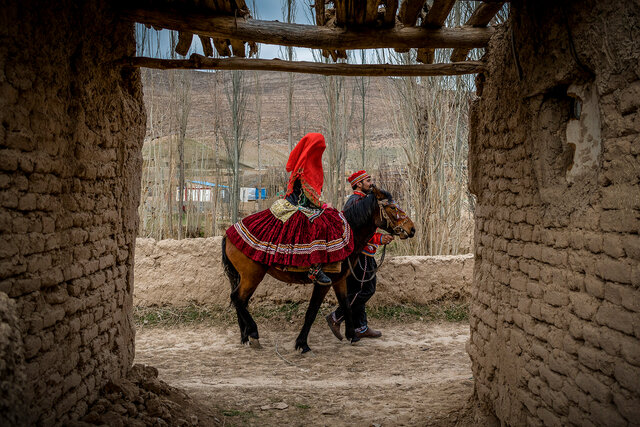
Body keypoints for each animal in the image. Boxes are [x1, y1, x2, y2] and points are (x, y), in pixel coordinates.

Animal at [222, 186, 418, 352]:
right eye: (392, 207)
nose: (412, 228)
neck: (350, 235)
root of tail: (228, 234)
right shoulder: (324, 283)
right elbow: (312, 311)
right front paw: (302, 344)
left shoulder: (339, 280)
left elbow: (346, 304)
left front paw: (351, 335)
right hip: (252, 275)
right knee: (237, 299)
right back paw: (253, 333)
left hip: (244, 276)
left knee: (240, 301)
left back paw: (245, 336)